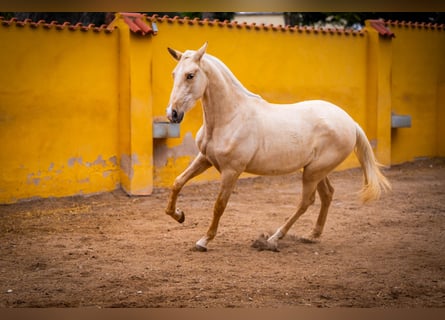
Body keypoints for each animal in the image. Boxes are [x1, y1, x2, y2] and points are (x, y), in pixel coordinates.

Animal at [164, 43, 388, 252]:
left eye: (190, 75)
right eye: (174, 74)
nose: (172, 114)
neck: (231, 117)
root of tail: (351, 122)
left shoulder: (231, 171)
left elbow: (219, 205)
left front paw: (203, 241)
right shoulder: (205, 159)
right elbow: (177, 182)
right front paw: (179, 215)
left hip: (313, 172)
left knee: (306, 201)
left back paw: (274, 239)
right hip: (315, 170)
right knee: (327, 194)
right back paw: (312, 235)